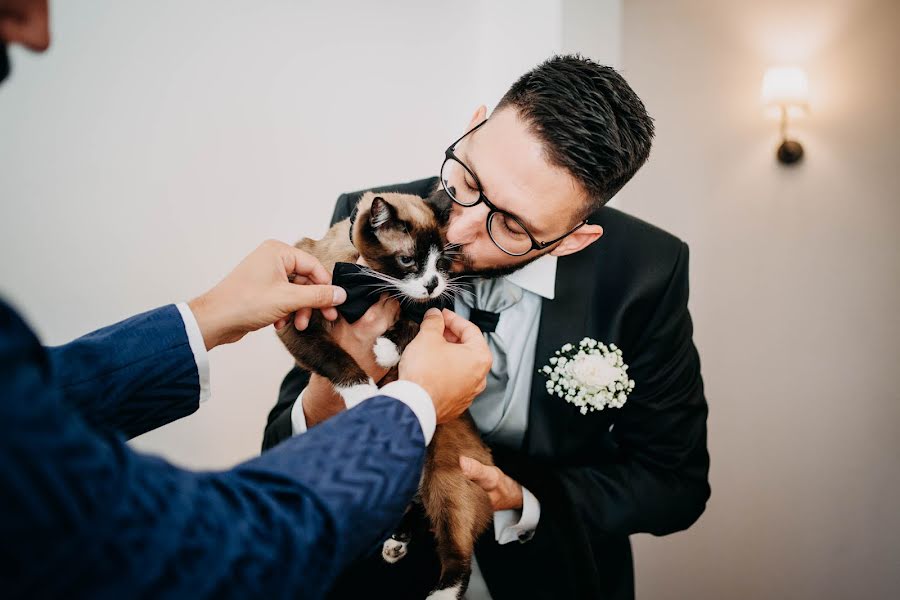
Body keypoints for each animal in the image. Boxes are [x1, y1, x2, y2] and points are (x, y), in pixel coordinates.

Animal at [280, 192, 492, 600]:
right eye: (408, 260)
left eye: (442, 263)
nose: (432, 283)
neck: (369, 284)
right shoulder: (297, 324)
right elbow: (336, 358)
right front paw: (364, 393)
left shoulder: (432, 312)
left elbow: (411, 322)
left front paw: (386, 351)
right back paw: (395, 543)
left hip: (446, 479)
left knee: (459, 556)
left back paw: (439, 592)